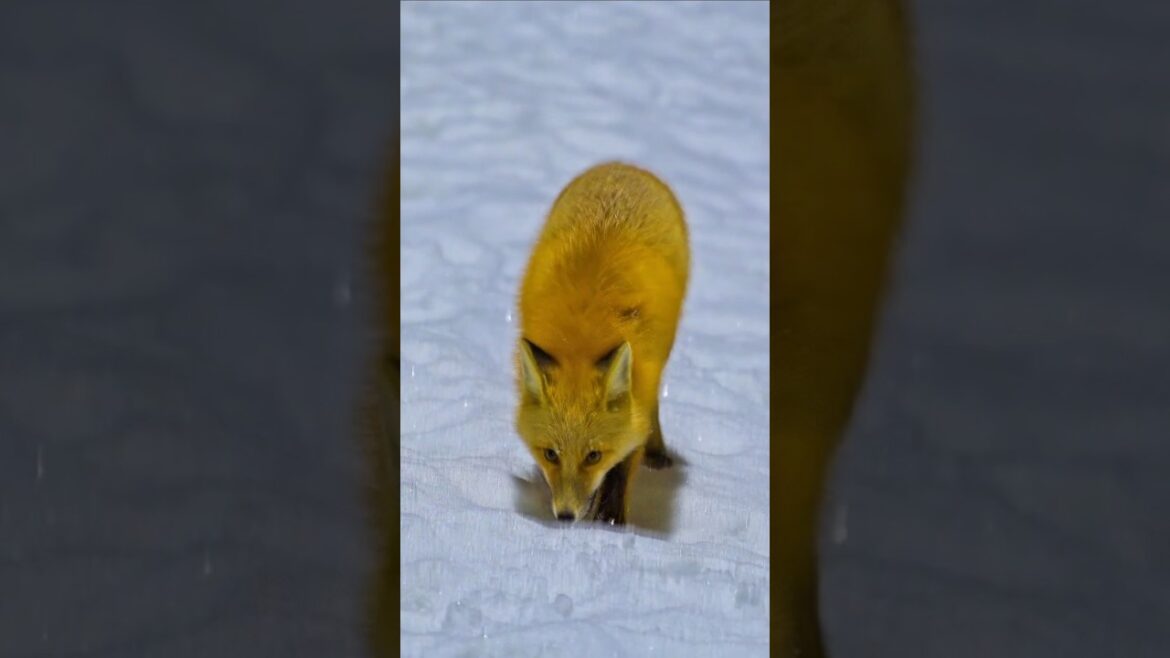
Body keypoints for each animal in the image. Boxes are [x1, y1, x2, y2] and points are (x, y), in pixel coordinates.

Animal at [514, 161, 689, 525]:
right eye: (551, 454)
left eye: (593, 456)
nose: (565, 517)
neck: (580, 342)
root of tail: (621, 166)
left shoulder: (642, 386)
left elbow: (624, 462)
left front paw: (610, 517)